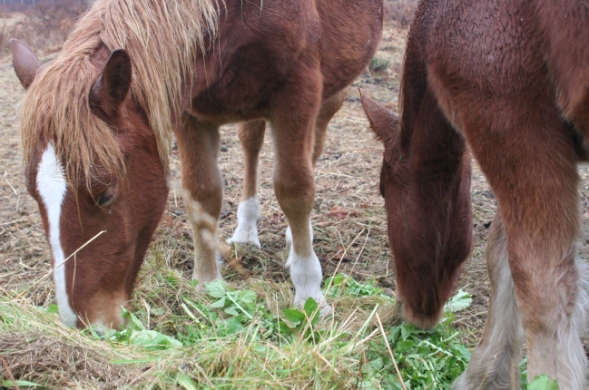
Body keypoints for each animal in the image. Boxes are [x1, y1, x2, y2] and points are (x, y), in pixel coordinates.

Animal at [12, 0, 382, 330]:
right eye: (34, 196)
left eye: (105, 194)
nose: (84, 324)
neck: (237, 13)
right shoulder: (189, 110)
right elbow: (203, 193)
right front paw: (208, 284)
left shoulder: (298, 94)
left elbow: (294, 189)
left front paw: (309, 295)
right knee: (251, 142)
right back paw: (246, 231)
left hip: (330, 94)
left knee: (311, 151)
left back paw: (295, 243)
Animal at [362, 0, 588, 386]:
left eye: (382, 190)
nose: (409, 313)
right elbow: (501, 253)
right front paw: (488, 375)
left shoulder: (513, 125)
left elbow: (539, 283)